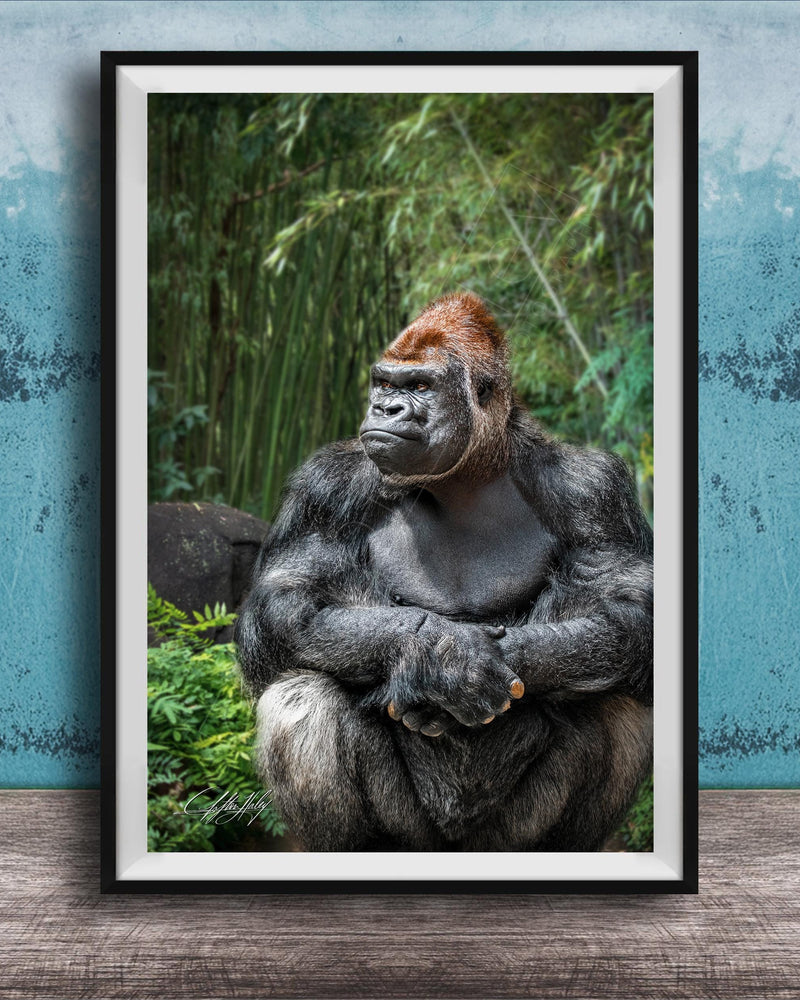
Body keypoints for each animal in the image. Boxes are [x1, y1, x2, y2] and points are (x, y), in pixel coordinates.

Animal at [235, 292, 653, 852]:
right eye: (384, 383)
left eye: (419, 387)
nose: (384, 408)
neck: (469, 475)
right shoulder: (323, 488)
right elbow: (285, 605)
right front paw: (432, 657)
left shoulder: (593, 490)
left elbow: (630, 612)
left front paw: (473, 659)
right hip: (413, 837)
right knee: (302, 695)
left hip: (503, 839)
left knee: (611, 696)